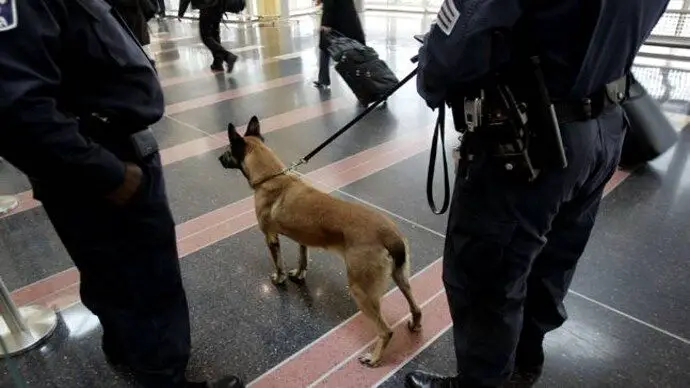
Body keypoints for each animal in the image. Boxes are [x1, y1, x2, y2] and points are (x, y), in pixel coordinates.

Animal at [218, 115, 422, 366]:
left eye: (228, 150)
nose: (218, 158)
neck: (272, 177)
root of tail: (390, 235)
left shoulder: (270, 237)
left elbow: (278, 263)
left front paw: (280, 279)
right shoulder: (302, 238)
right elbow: (302, 258)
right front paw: (298, 274)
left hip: (361, 290)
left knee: (386, 330)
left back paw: (374, 358)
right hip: (401, 277)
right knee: (416, 307)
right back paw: (415, 325)